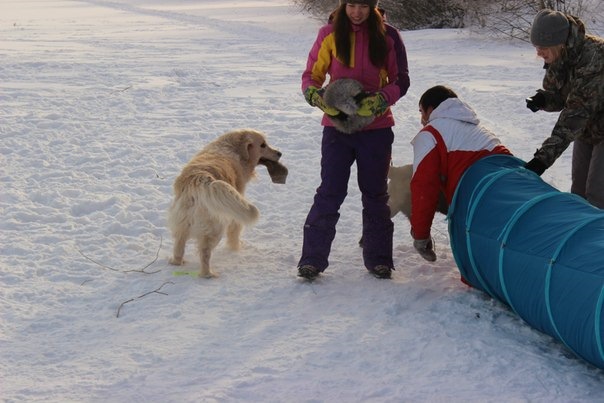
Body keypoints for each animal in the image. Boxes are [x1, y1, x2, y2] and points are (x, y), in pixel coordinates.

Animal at [168, 129, 286, 278]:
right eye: (263, 145)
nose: (279, 153)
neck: (235, 148)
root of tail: (199, 179)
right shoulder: (236, 208)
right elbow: (234, 233)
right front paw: (236, 250)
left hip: (182, 222)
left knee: (179, 246)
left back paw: (177, 262)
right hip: (215, 227)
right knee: (205, 253)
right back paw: (208, 274)